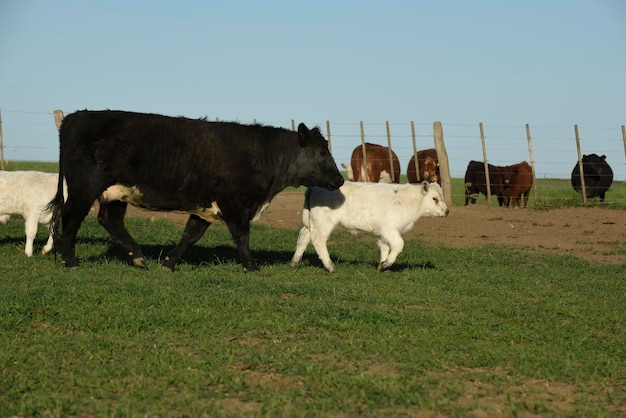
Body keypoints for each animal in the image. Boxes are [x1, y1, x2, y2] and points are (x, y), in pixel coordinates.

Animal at [46, 109, 344, 272]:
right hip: (84, 188)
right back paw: (71, 261)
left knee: (110, 221)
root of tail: (76, 117)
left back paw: (139, 257)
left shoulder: (206, 206)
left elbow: (191, 235)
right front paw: (252, 266)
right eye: (322, 152)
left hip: (116, 193)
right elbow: (242, 237)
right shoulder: (236, 205)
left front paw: (169, 262)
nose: (340, 180)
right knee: (70, 219)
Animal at [290, 181, 446, 272]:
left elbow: (385, 247)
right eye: (434, 198)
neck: (406, 200)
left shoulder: (382, 233)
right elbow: (398, 245)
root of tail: (314, 187)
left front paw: (382, 265)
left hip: (312, 222)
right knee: (318, 240)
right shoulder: (389, 229)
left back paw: (294, 262)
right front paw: (387, 264)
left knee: (303, 237)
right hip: (323, 222)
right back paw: (329, 266)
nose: (447, 211)